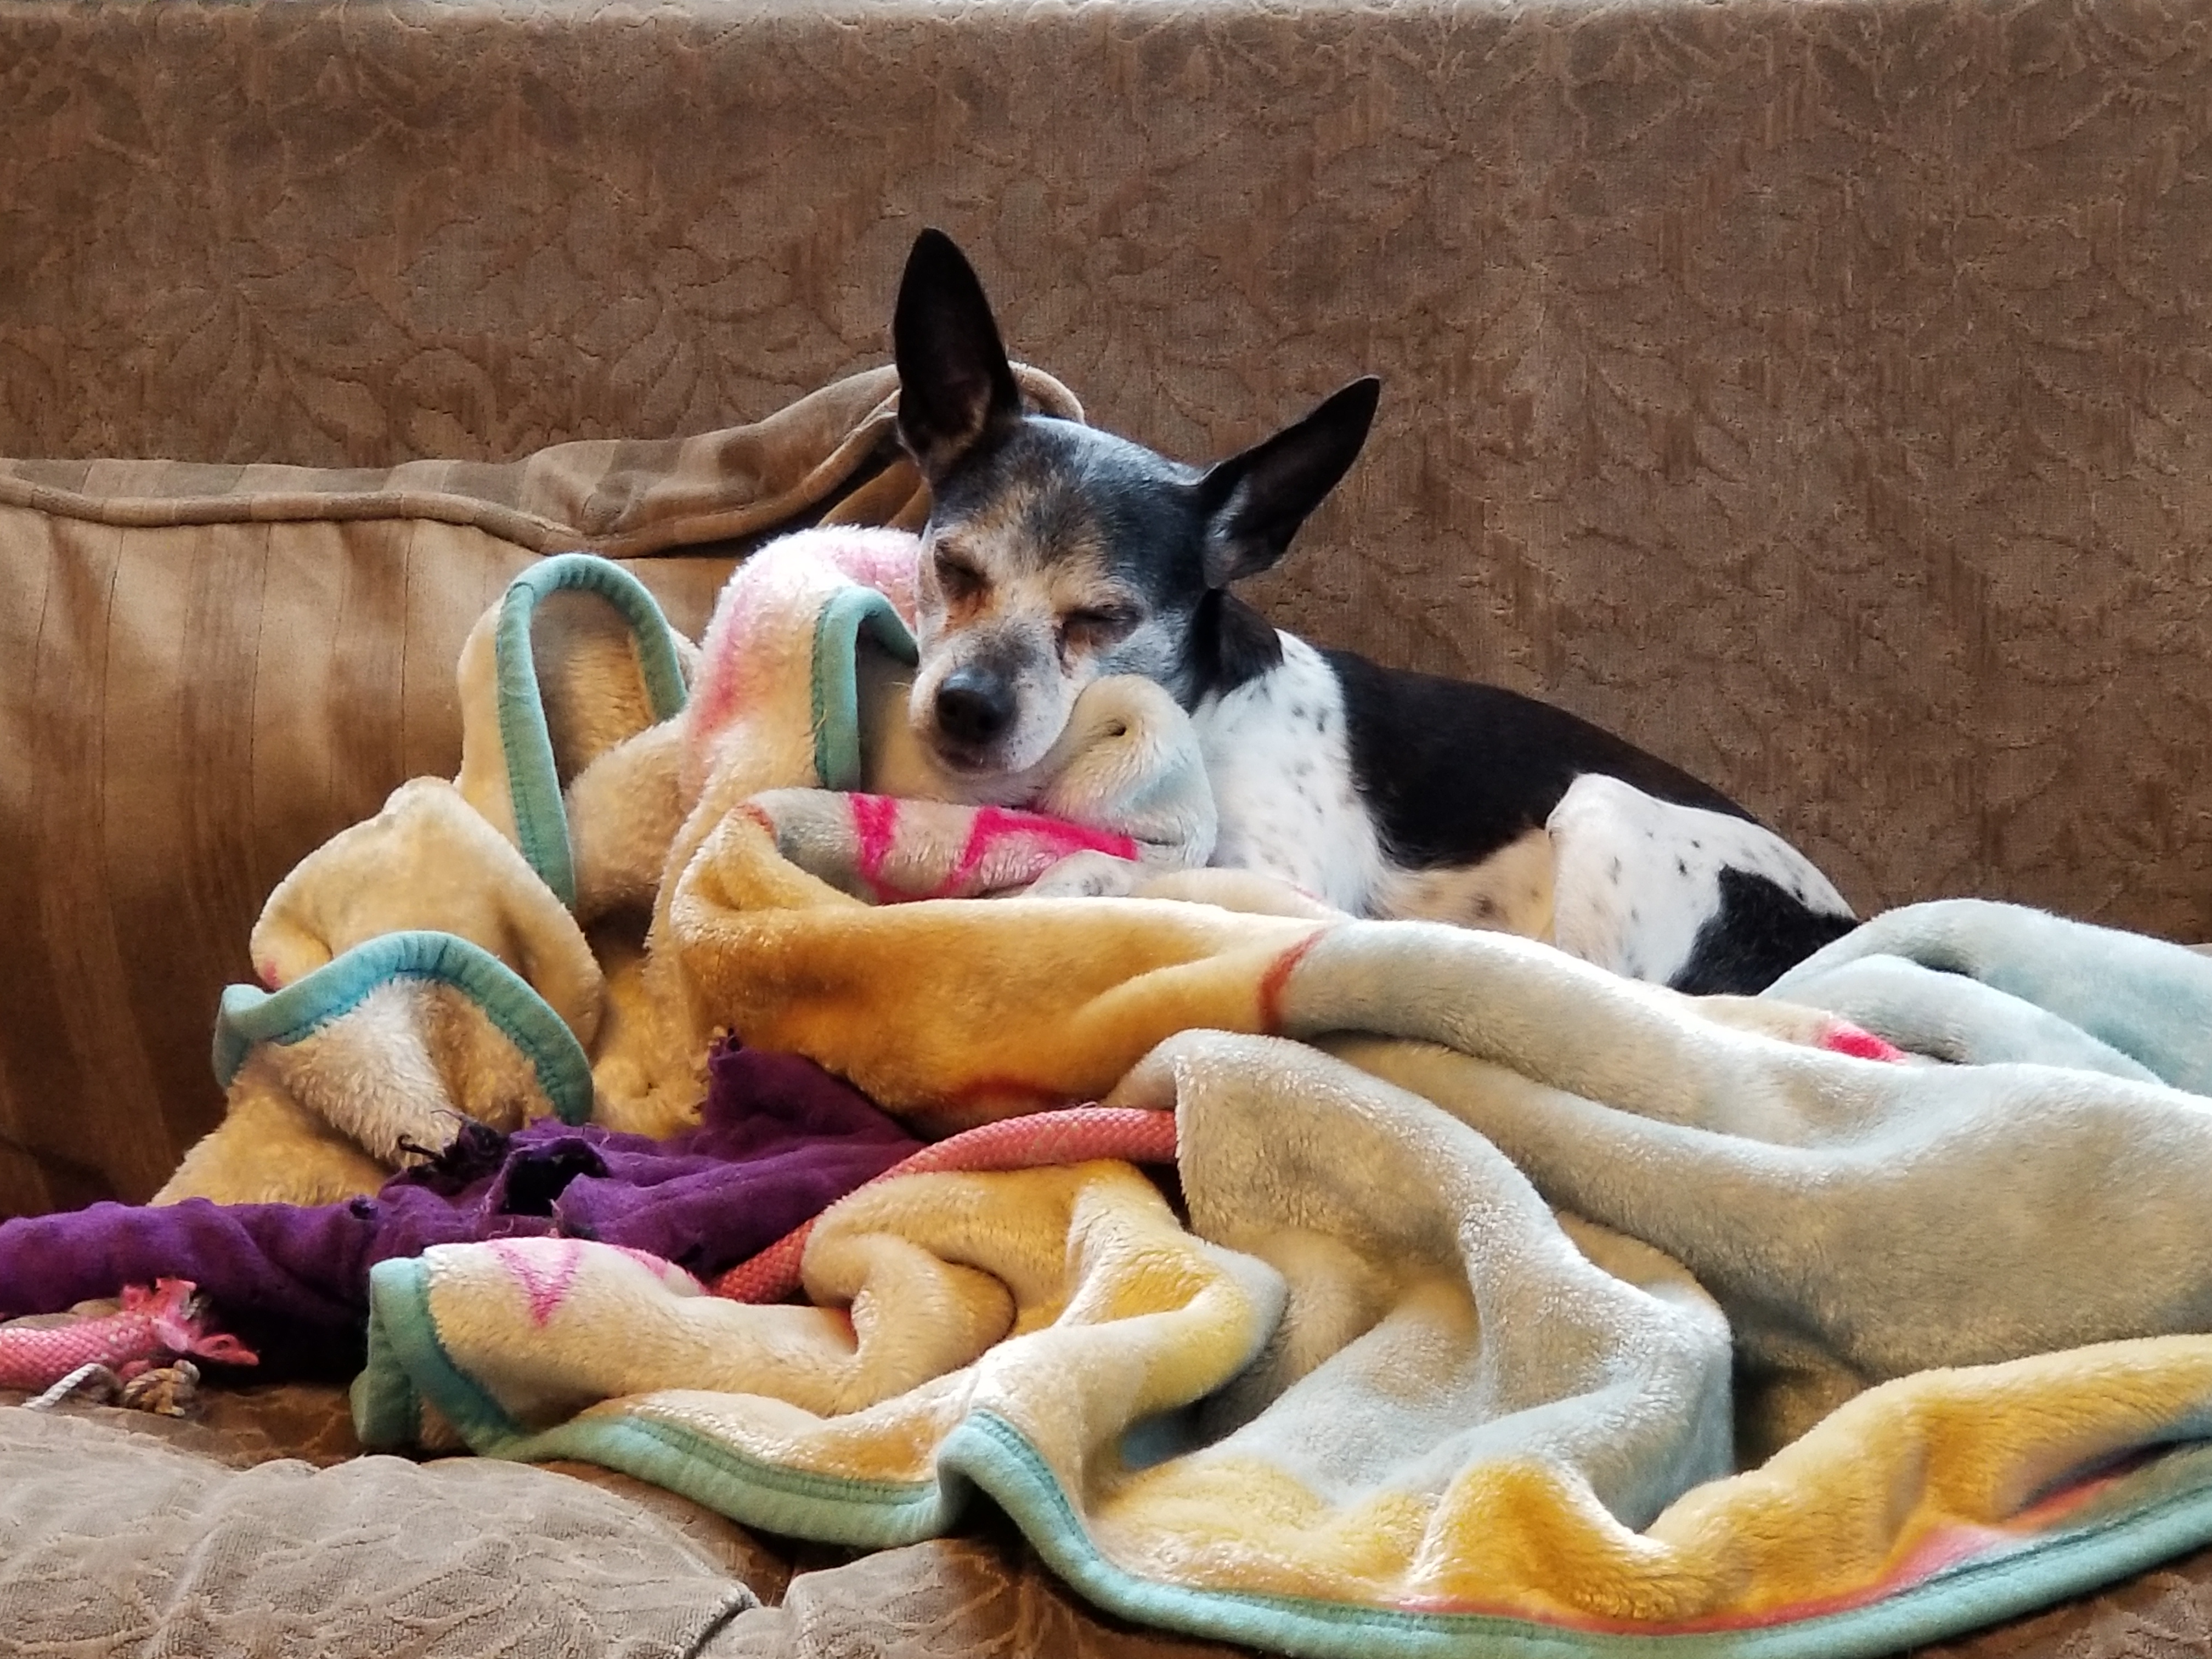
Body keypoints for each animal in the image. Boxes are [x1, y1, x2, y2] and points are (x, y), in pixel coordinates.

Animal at [887, 228, 1856, 995]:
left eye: (1105, 617)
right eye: (952, 565)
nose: (967, 708)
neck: (1204, 710)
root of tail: (1841, 937)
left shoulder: (1273, 872)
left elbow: (1123, 871)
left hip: (1603, 807)